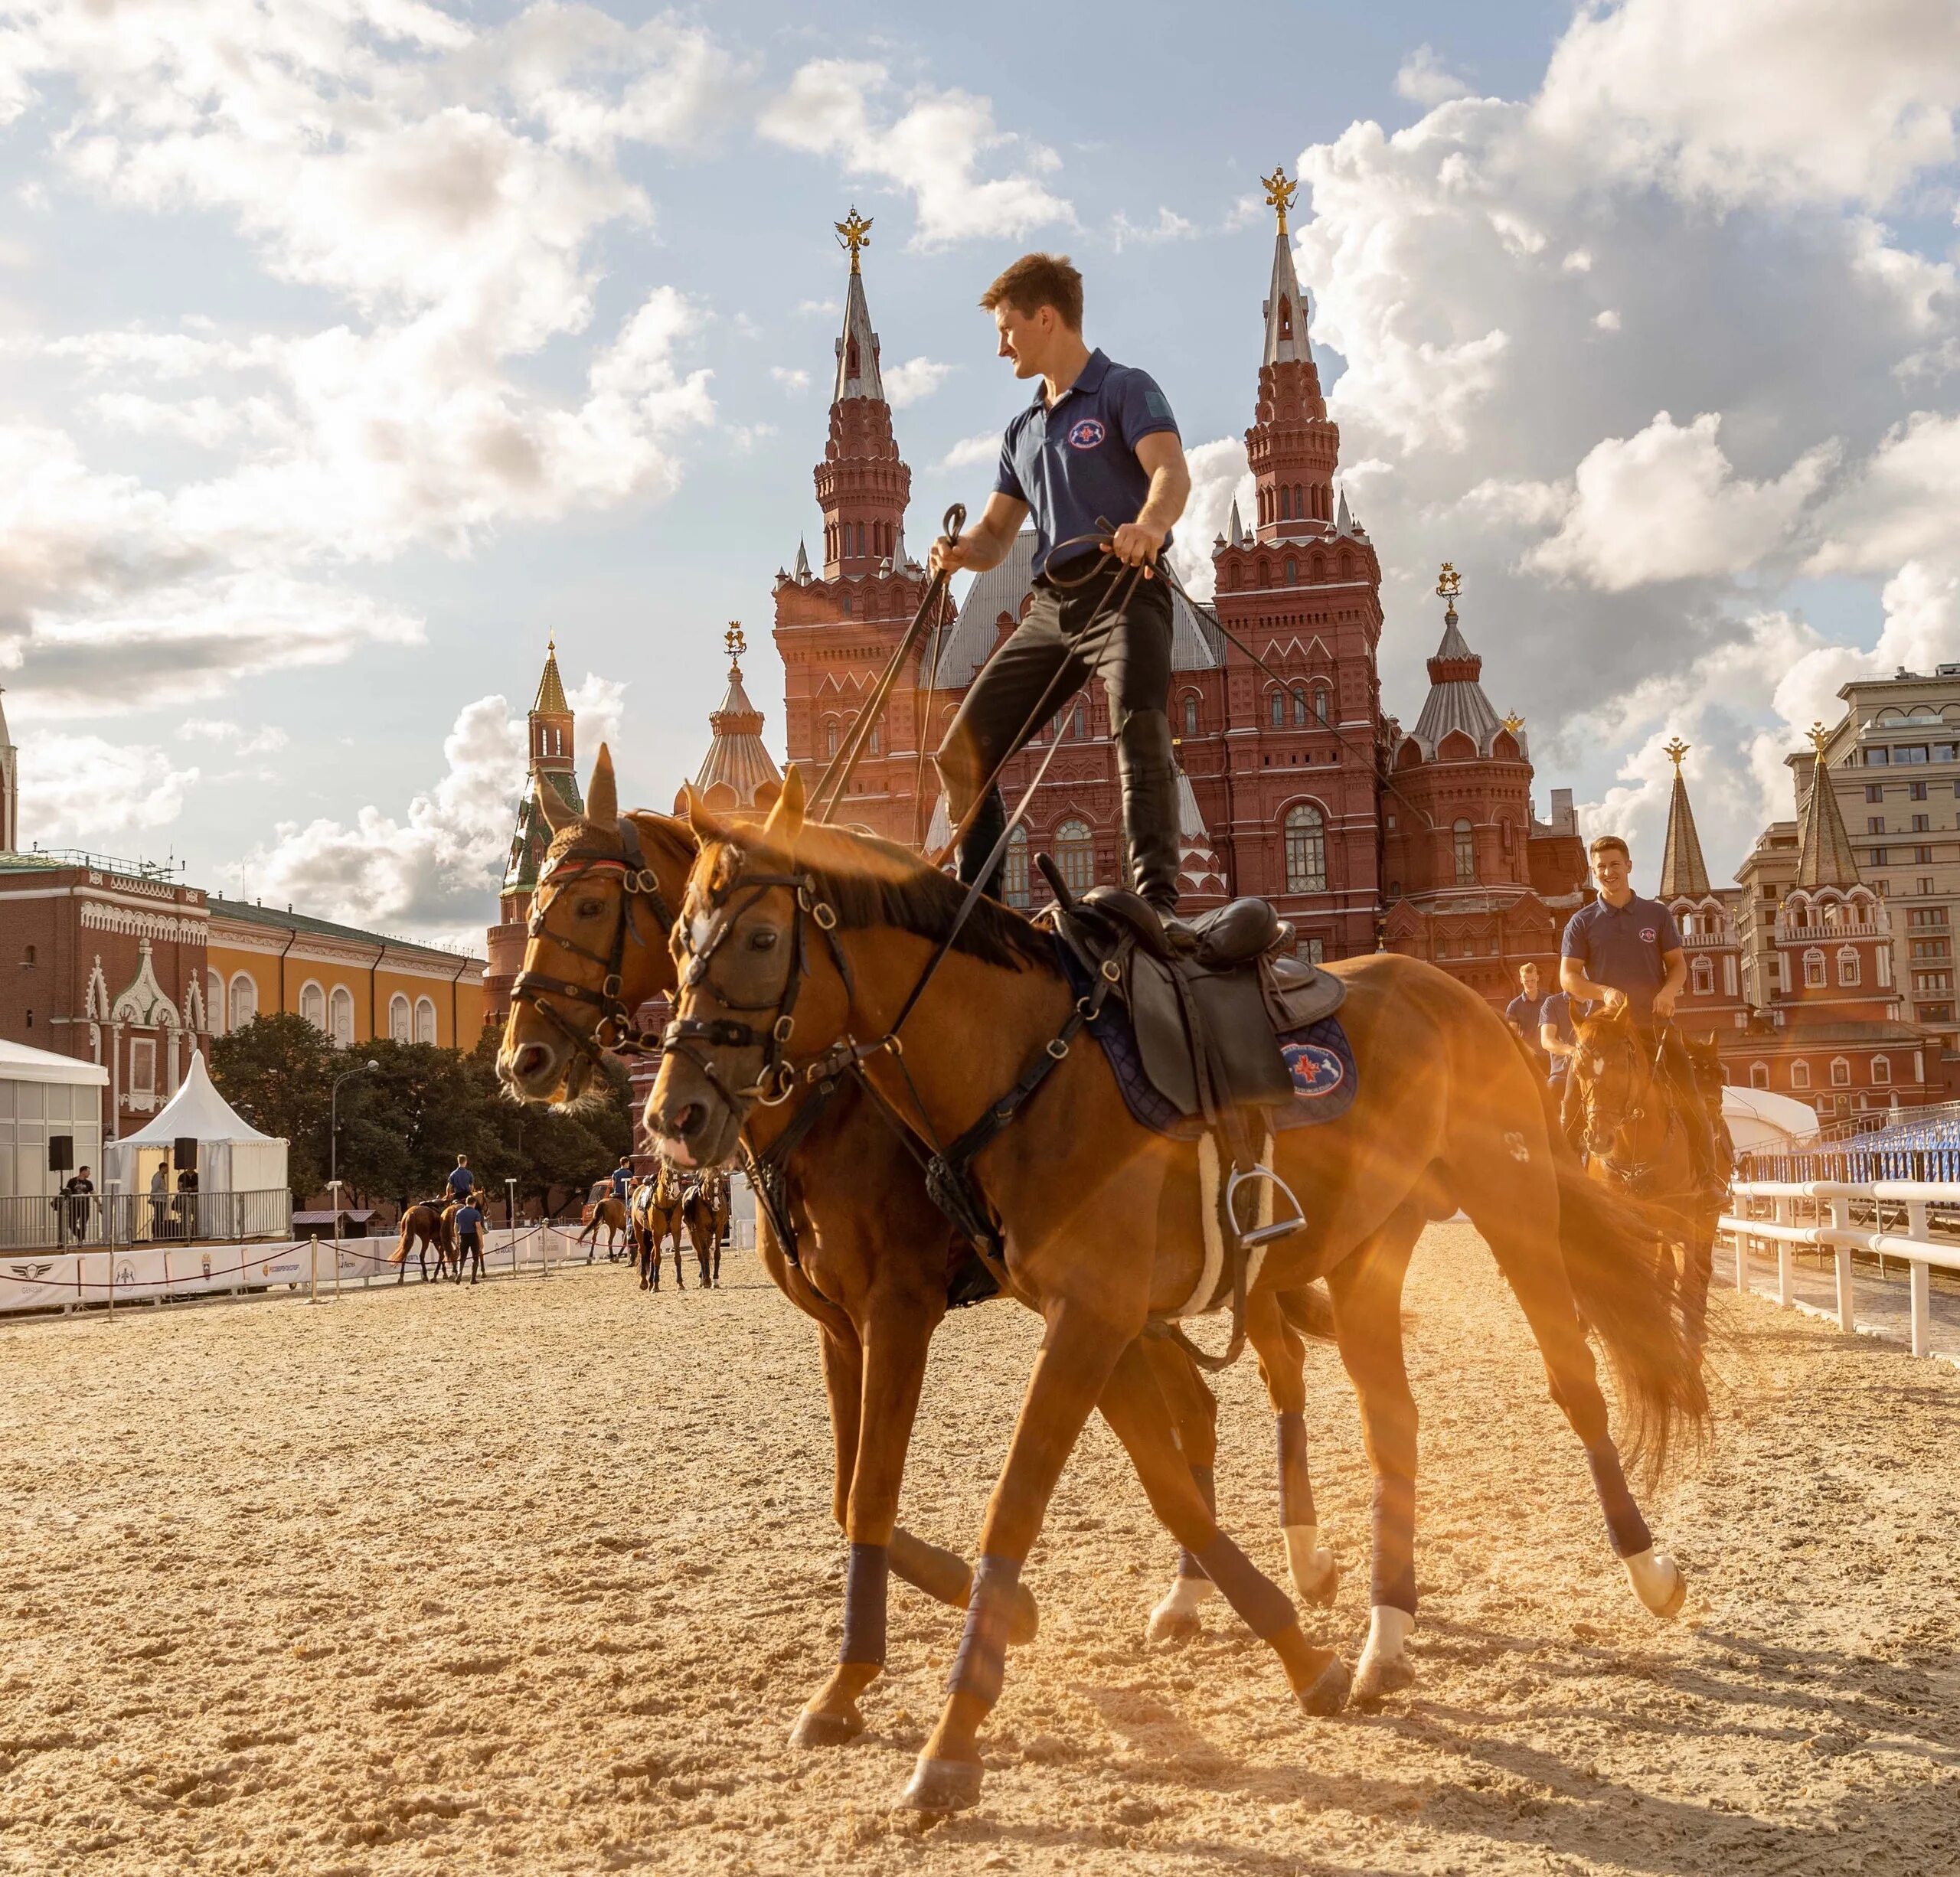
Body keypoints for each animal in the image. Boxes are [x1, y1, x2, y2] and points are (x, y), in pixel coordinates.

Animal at [650, 768, 1709, 1818]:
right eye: (675, 942)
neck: (1026, 1066)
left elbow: (1008, 1505)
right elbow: (1164, 1487)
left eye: (758, 936)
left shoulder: (1038, 1316)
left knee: (1572, 1379)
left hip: (1512, 1205)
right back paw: (1384, 1636)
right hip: (1364, 1253)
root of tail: (1446, 989)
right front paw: (1298, 1652)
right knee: (1390, 1423)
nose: (674, 1112)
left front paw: (950, 1738)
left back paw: (1647, 1567)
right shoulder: (1084, 1320)